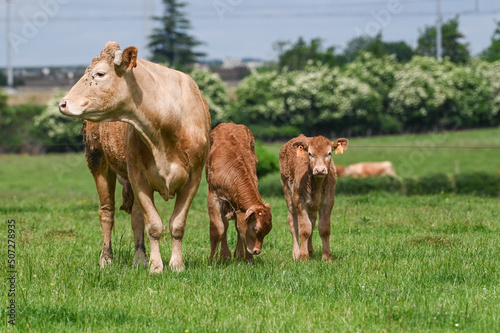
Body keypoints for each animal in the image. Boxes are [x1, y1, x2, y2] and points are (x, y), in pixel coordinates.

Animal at [205, 120, 272, 260]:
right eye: (255, 228)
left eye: (268, 230)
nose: (257, 251)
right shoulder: (213, 198)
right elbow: (218, 230)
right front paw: (212, 259)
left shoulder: (239, 209)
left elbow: (239, 229)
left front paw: (246, 258)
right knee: (224, 225)